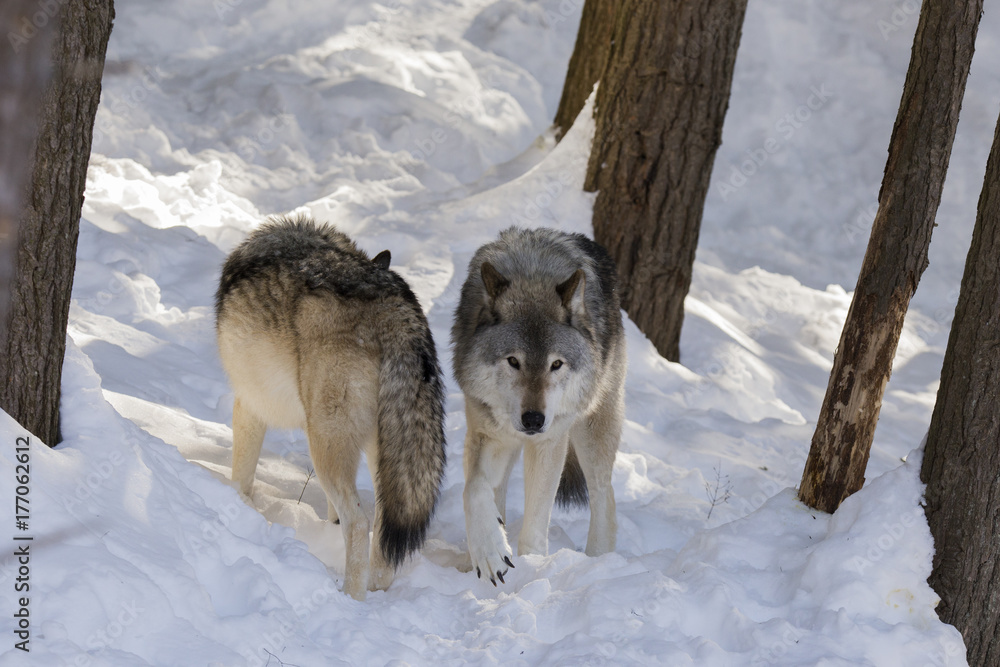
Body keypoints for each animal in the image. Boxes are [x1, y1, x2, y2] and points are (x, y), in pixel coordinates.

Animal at [215, 215, 446, 601]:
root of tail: (395, 311)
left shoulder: (249, 405)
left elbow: (241, 477)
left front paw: (237, 506)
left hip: (325, 444)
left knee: (359, 524)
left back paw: (351, 597)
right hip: (384, 454)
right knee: (382, 527)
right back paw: (376, 589)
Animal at [452, 226, 626, 585]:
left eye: (556, 364)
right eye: (513, 361)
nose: (533, 419)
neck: (532, 274)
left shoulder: (549, 442)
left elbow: (534, 524)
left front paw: (532, 567)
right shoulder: (488, 433)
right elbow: (473, 488)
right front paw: (490, 551)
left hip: (590, 433)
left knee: (605, 496)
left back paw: (598, 563)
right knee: (499, 492)